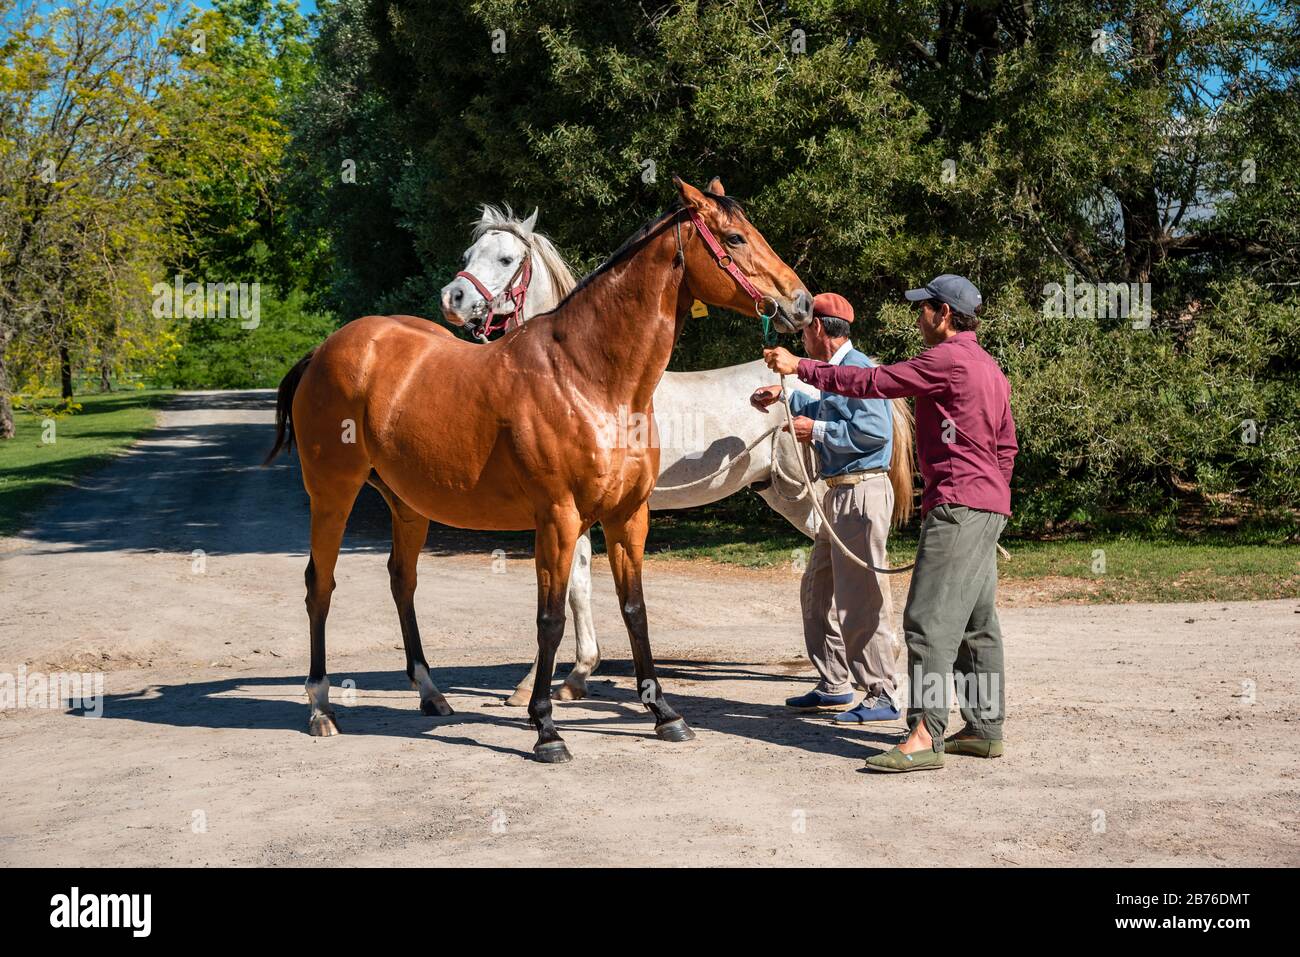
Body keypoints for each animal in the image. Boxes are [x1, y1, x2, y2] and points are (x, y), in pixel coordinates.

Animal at [262, 178, 806, 764]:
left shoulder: (627, 516)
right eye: (734, 238)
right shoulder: (558, 518)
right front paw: (545, 725)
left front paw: (664, 713)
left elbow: (633, 607)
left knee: (401, 581)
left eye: (506, 258)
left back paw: (430, 693)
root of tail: (327, 349)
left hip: (407, 505)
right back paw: (321, 707)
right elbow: (553, 616)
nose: (800, 302)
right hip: (332, 493)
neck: (589, 378)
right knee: (321, 585)